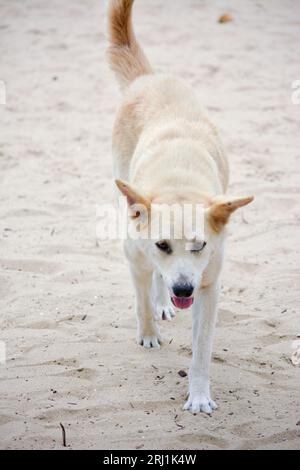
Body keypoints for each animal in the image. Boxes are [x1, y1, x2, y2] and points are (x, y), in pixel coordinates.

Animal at [105, 0, 253, 414]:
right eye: (162, 245)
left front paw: (199, 396)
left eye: (200, 246)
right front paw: (149, 333)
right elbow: (142, 297)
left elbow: (201, 350)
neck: (179, 187)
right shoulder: (136, 255)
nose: (184, 289)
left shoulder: (210, 285)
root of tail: (148, 79)